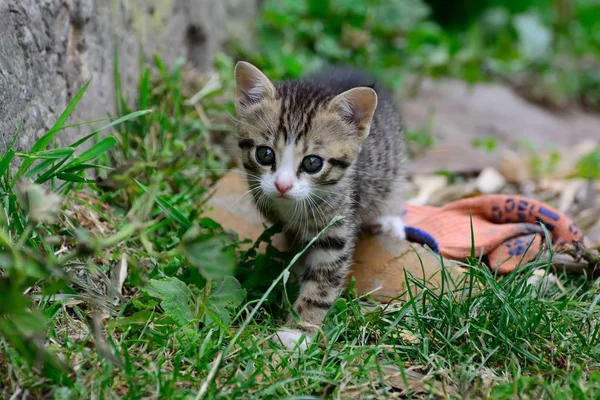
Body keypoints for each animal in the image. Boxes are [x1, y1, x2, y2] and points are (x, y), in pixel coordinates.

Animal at [234, 61, 408, 348]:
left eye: (313, 163)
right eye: (264, 154)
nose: (282, 186)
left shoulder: (336, 228)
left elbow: (322, 283)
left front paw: (299, 332)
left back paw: (390, 221)